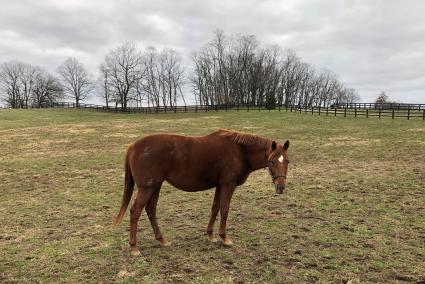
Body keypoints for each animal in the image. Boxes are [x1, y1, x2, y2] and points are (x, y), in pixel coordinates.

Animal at [114, 129, 290, 255]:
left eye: (287, 161)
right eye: (272, 161)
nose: (280, 187)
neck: (240, 151)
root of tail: (133, 146)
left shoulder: (219, 185)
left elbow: (215, 209)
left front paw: (211, 235)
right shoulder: (228, 185)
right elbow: (224, 210)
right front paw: (224, 238)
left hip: (155, 186)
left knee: (151, 210)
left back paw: (161, 240)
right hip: (147, 188)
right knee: (135, 211)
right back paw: (134, 247)